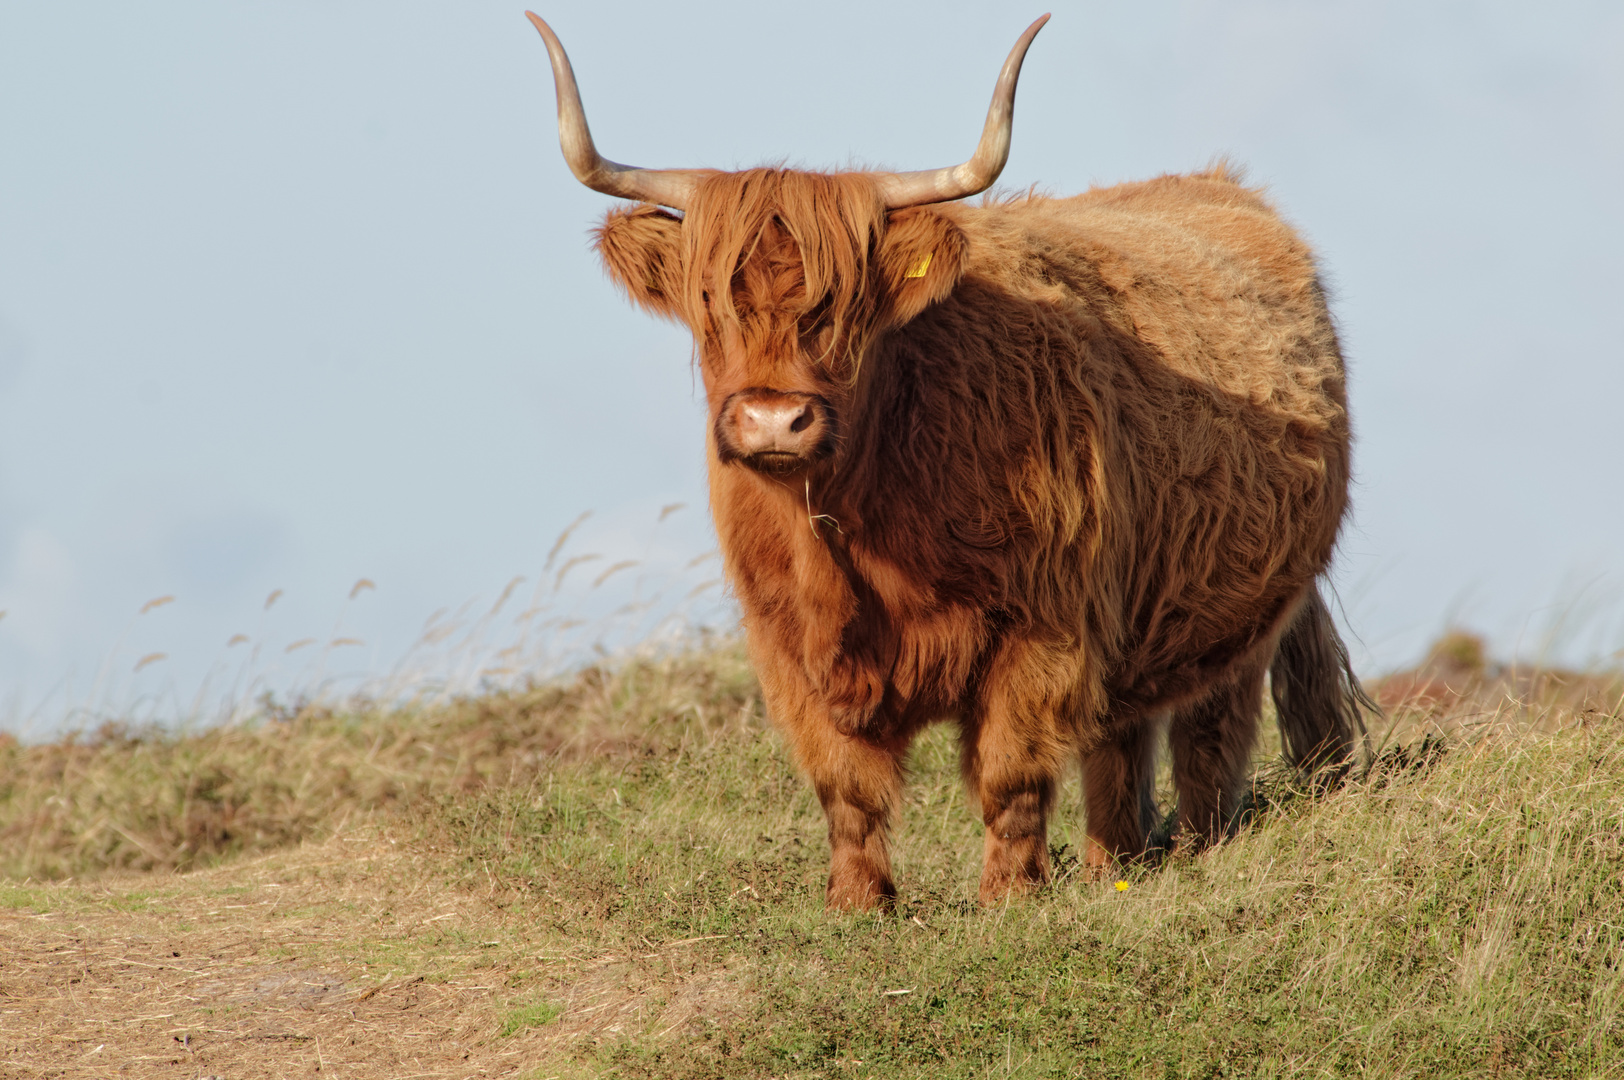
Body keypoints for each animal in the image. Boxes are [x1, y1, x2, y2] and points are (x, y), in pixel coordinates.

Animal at [526, 14, 1364, 909]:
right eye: (711, 300)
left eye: (845, 305)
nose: (773, 420)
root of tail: (1224, 188)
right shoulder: (785, 647)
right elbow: (847, 789)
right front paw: (857, 905)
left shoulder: (1044, 626)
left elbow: (1009, 773)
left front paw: (1009, 898)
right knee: (1120, 738)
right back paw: (1114, 868)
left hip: (1243, 613)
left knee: (1209, 737)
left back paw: (1195, 852)